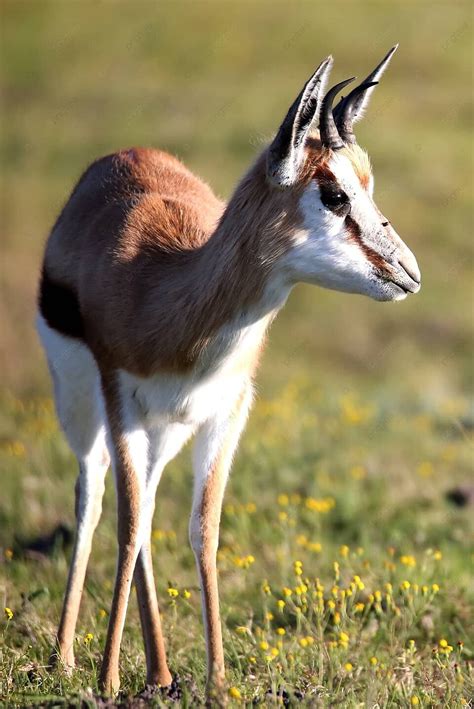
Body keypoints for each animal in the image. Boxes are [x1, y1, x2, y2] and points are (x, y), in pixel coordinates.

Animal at [39, 47, 420, 696]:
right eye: (335, 194)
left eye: (367, 185)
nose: (408, 273)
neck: (163, 293)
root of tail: (127, 154)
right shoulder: (119, 402)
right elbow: (126, 523)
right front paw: (106, 680)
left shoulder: (226, 412)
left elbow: (203, 529)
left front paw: (216, 681)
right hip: (86, 412)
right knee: (93, 500)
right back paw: (69, 659)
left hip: (169, 428)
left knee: (147, 508)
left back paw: (162, 672)